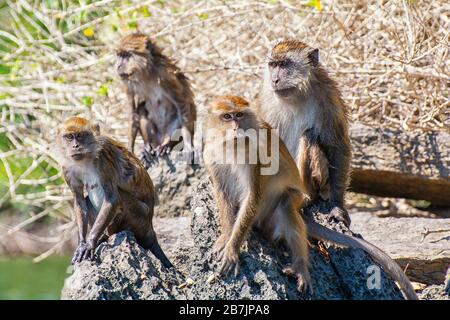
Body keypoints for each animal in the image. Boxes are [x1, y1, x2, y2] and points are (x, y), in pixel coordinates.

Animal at [57, 115, 172, 268]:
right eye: (69, 137)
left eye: (80, 135)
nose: (75, 146)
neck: (85, 160)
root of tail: (150, 230)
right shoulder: (67, 167)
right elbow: (80, 201)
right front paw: (82, 243)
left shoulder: (104, 160)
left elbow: (112, 198)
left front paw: (90, 243)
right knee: (87, 199)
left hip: (140, 217)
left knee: (120, 196)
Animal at [115, 31, 196, 168]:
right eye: (119, 55)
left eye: (126, 55)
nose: (118, 66)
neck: (146, 73)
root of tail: (159, 140)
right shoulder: (128, 83)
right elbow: (133, 111)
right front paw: (129, 150)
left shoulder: (166, 75)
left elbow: (182, 104)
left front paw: (188, 145)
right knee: (141, 109)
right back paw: (148, 147)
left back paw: (167, 145)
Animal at [256, 38, 352, 226]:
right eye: (273, 65)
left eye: (284, 64)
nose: (275, 80)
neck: (297, 96)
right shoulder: (266, 102)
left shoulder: (329, 98)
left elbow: (338, 147)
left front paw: (337, 206)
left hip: (321, 182)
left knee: (309, 136)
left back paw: (307, 196)